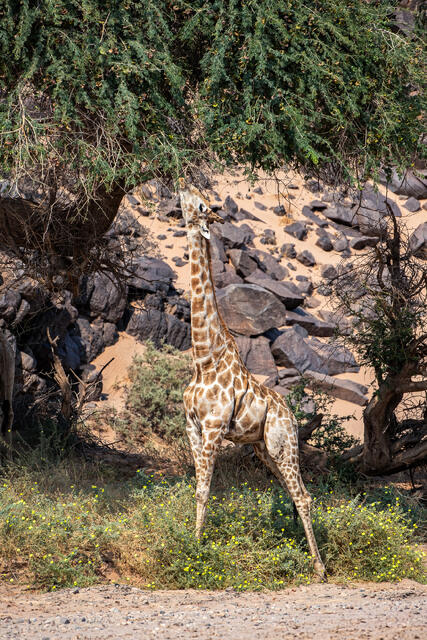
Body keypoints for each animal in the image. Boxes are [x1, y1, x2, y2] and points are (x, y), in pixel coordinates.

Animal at [178, 178, 326, 580]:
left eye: (200, 205)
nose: (183, 184)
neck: (203, 357)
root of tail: (293, 417)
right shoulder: (192, 427)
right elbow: (197, 489)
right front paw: (188, 541)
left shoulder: (214, 428)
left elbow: (206, 490)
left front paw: (195, 550)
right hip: (265, 449)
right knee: (295, 493)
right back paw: (300, 554)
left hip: (283, 443)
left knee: (303, 495)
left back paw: (319, 568)